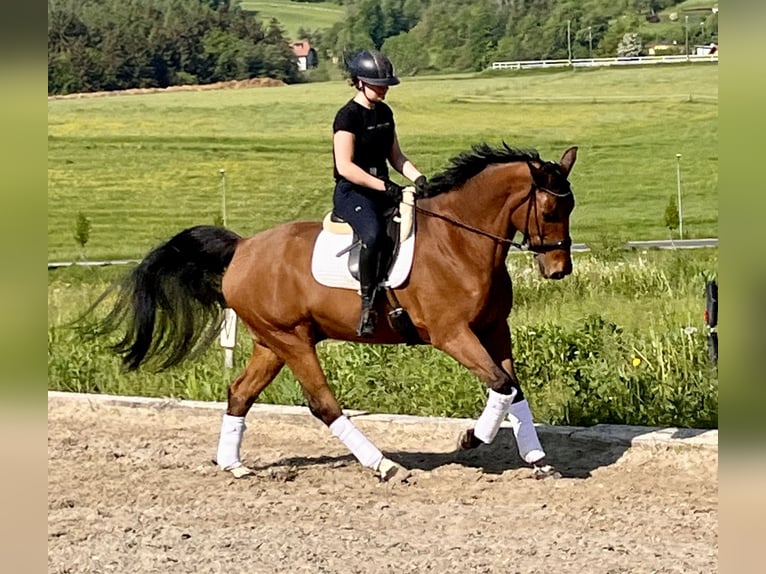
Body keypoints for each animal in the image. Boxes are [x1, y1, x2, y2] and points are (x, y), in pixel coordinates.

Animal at [90, 143, 580, 482]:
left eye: (570, 206)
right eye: (549, 208)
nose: (559, 270)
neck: (460, 242)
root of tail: (242, 248)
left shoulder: (494, 329)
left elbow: (513, 388)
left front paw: (537, 458)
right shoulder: (452, 334)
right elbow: (500, 384)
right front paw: (470, 438)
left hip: (271, 343)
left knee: (239, 393)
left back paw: (233, 465)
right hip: (292, 339)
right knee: (322, 403)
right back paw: (383, 465)